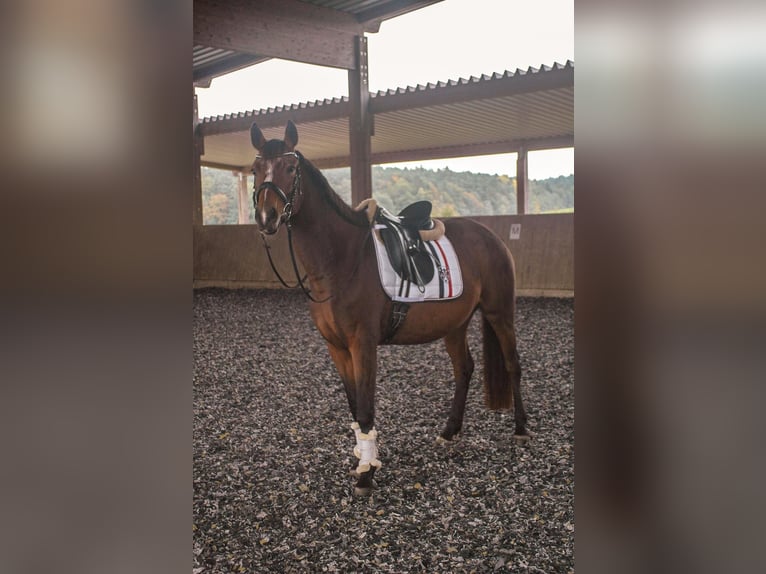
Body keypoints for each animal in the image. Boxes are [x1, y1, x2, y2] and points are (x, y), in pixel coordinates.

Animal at [252, 120, 528, 496]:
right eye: (255, 169)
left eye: (290, 168)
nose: (267, 216)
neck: (342, 258)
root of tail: (490, 236)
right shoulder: (336, 347)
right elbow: (354, 406)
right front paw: (362, 461)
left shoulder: (363, 344)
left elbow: (366, 408)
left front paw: (367, 475)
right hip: (455, 324)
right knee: (465, 369)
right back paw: (449, 432)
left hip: (500, 313)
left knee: (513, 364)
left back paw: (521, 429)